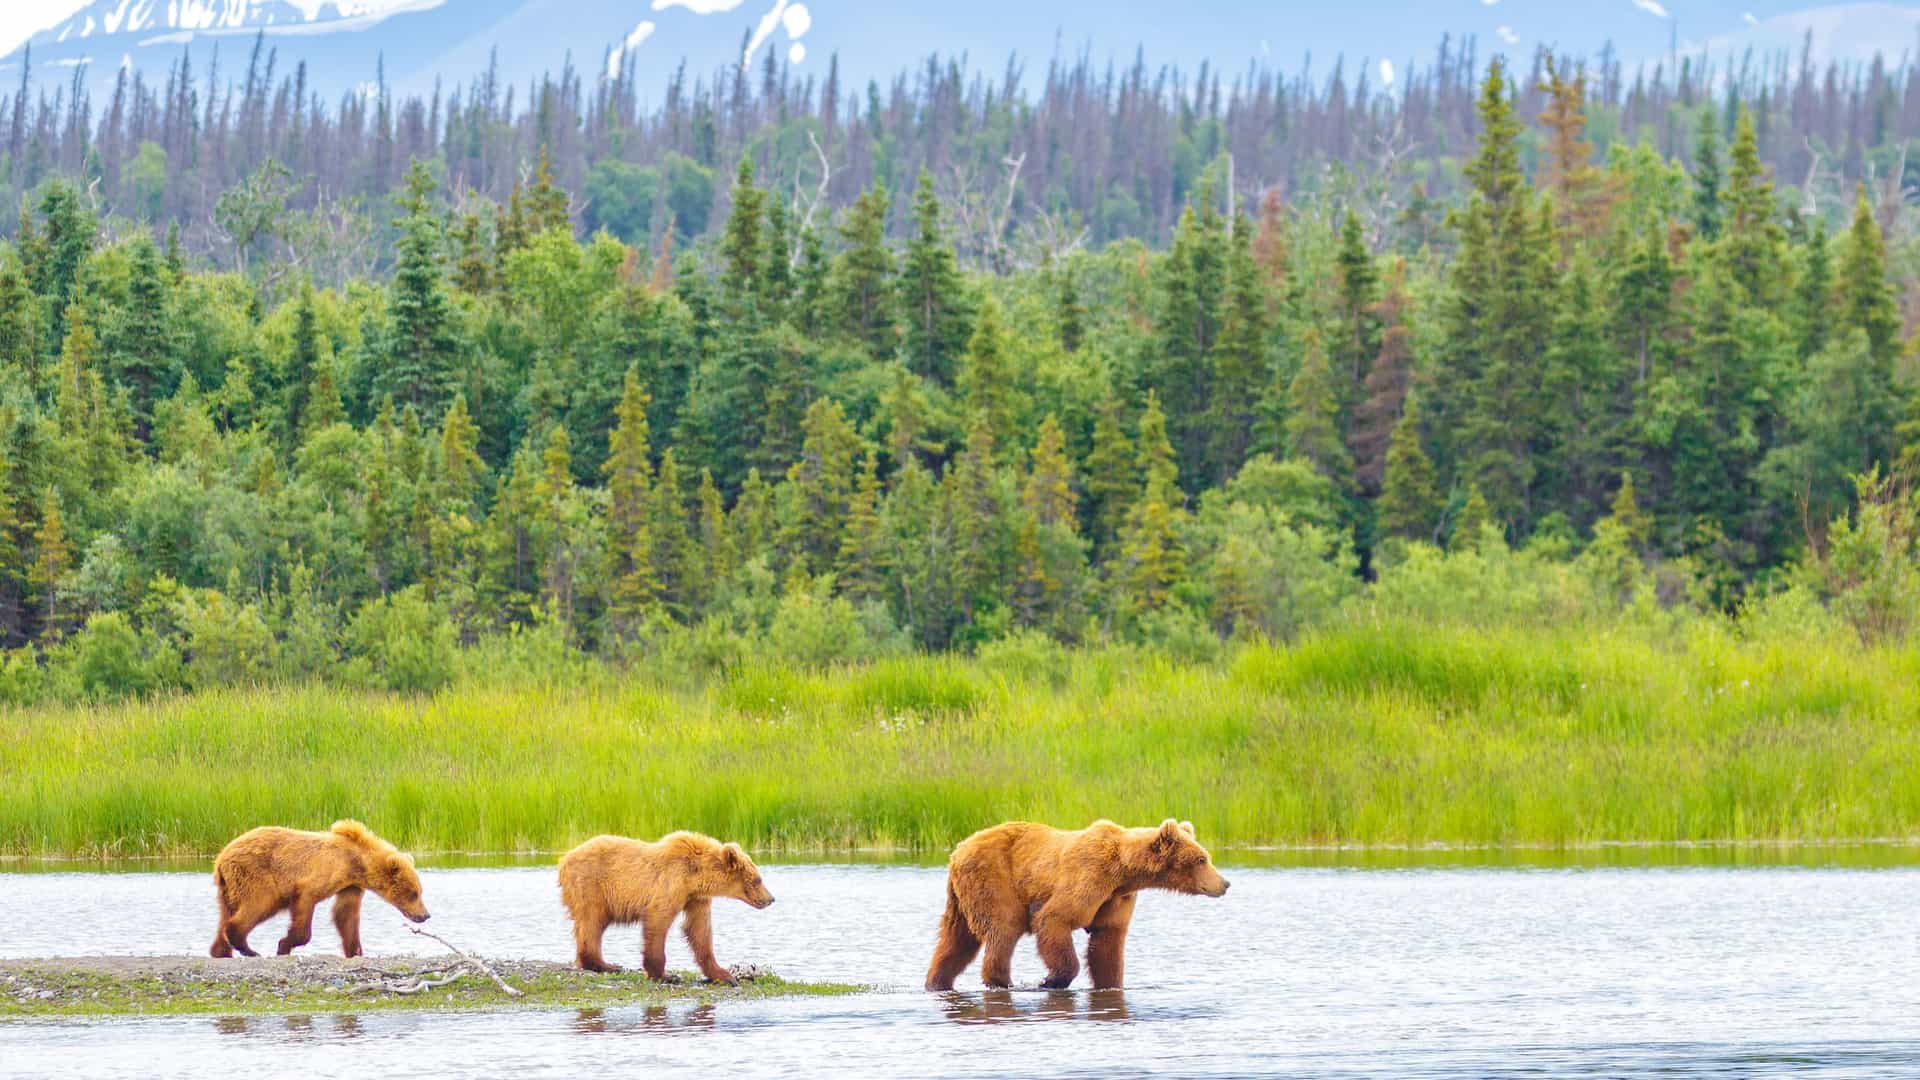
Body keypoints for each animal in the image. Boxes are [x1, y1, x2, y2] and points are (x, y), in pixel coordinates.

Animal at [208, 820, 430, 959]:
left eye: (419, 891)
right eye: (414, 893)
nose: (425, 915)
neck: (356, 863)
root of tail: (221, 857)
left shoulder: (350, 885)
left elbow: (346, 915)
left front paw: (355, 951)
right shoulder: (319, 876)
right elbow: (306, 904)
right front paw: (284, 945)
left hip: (228, 886)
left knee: (225, 913)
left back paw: (221, 951)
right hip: (257, 876)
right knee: (258, 904)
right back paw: (248, 948)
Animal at [557, 832, 775, 983]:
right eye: (757, 879)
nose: (771, 898)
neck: (696, 876)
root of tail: (564, 860)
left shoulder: (696, 898)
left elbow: (699, 931)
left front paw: (724, 975)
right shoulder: (671, 883)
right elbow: (658, 920)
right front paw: (665, 975)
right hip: (591, 885)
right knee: (592, 922)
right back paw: (606, 965)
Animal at [924, 818, 1228, 992]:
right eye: (1201, 859)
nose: (1225, 883)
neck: (1123, 872)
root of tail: (957, 850)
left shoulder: (1115, 899)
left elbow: (1107, 944)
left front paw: (1110, 984)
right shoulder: (1089, 876)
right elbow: (1054, 919)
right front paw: (1051, 980)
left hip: (961, 896)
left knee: (956, 940)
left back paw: (937, 982)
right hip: (993, 879)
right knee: (1003, 929)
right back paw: (1001, 981)